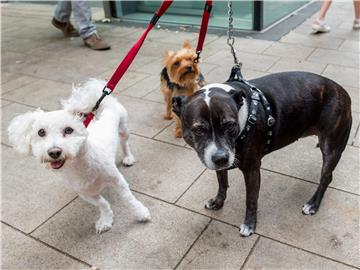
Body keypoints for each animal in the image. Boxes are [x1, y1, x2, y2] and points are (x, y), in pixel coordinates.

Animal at [7, 79, 150, 233]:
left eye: (69, 130)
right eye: (41, 132)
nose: (54, 152)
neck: (79, 166)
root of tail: (105, 99)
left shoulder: (118, 181)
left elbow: (129, 199)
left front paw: (141, 213)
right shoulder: (85, 193)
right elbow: (102, 204)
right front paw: (106, 219)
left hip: (123, 128)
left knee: (125, 144)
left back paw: (128, 158)